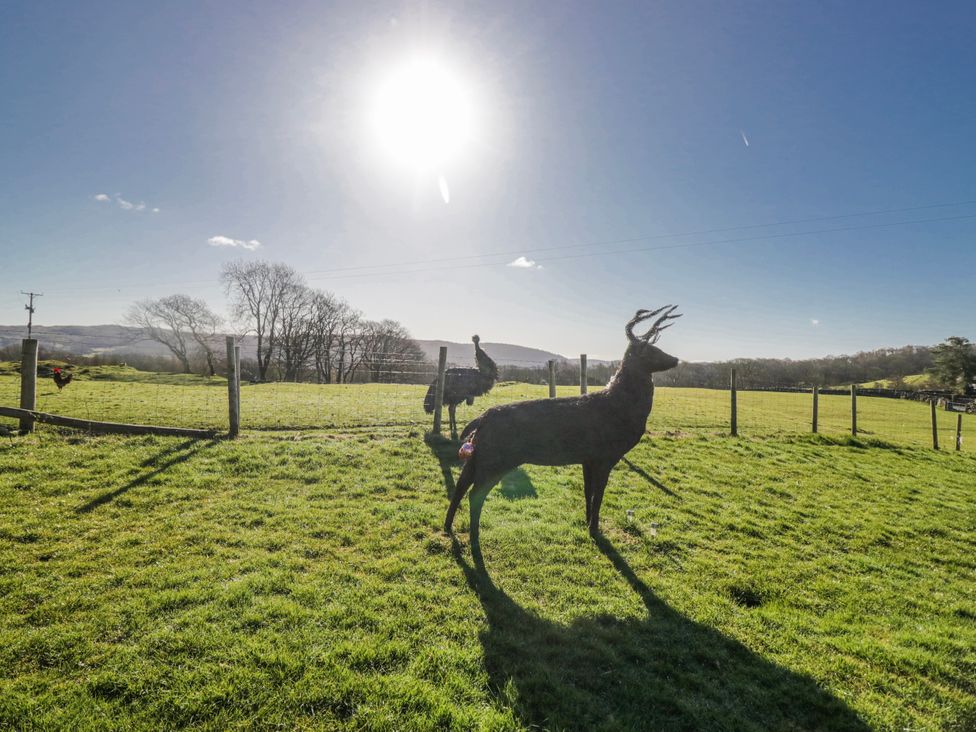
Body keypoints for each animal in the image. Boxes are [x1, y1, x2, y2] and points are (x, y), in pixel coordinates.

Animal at [444, 307, 681, 552]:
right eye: (651, 350)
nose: (675, 359)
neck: (623, 411)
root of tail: (480, 420)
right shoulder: (605, 455)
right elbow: (599, 496)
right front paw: (595, 529)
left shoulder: (587, 458)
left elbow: (588, 492)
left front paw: (587, 522)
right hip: (496, 459)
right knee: (474, 493)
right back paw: (473, 535)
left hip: (478, 456)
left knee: (461, 486)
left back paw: (448, 527)